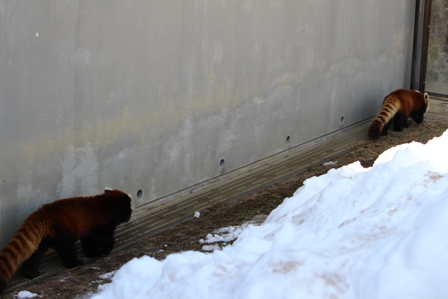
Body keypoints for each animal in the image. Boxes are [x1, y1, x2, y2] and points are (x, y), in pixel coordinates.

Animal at [0, 189, 133, 294]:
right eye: (130, 209)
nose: (130, 217)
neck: (106, 203)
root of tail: (42, 213)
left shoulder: (89, 228)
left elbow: (88, 242)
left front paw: (92, 253)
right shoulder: (102, 224)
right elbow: (104, 239)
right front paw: (105, 250)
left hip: (46, 237)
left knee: (36, 253)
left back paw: (31, 272)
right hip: (62, 231)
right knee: (67, 248)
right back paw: (75, 262)